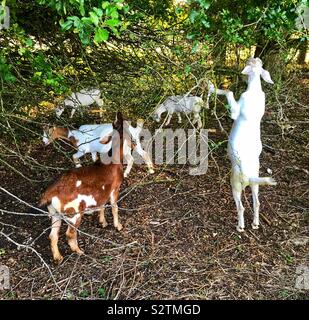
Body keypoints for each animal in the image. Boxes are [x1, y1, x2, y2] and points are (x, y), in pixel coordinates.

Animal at [40, 112, 124, 262]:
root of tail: (48, 195)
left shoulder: (102, 192)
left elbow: (102, 205)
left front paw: (103, 223)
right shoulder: (115, 187)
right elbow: (114, 207)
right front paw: (118, 226)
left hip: (54, 213)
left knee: (52, 235)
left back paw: (58, 258)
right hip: (73, 213)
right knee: (69, 234)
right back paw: (79, 251)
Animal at [209, 57, 276, 231]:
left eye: (251, 62)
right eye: (257, 61)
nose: (252, 57)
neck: (255, 89)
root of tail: (248, 176)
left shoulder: (235, 111)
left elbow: (229, 92)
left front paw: (212, 87)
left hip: (235, 185)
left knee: (241, 207)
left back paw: (240, 226)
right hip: (256, 183)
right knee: (257, 203)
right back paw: (255, 223)